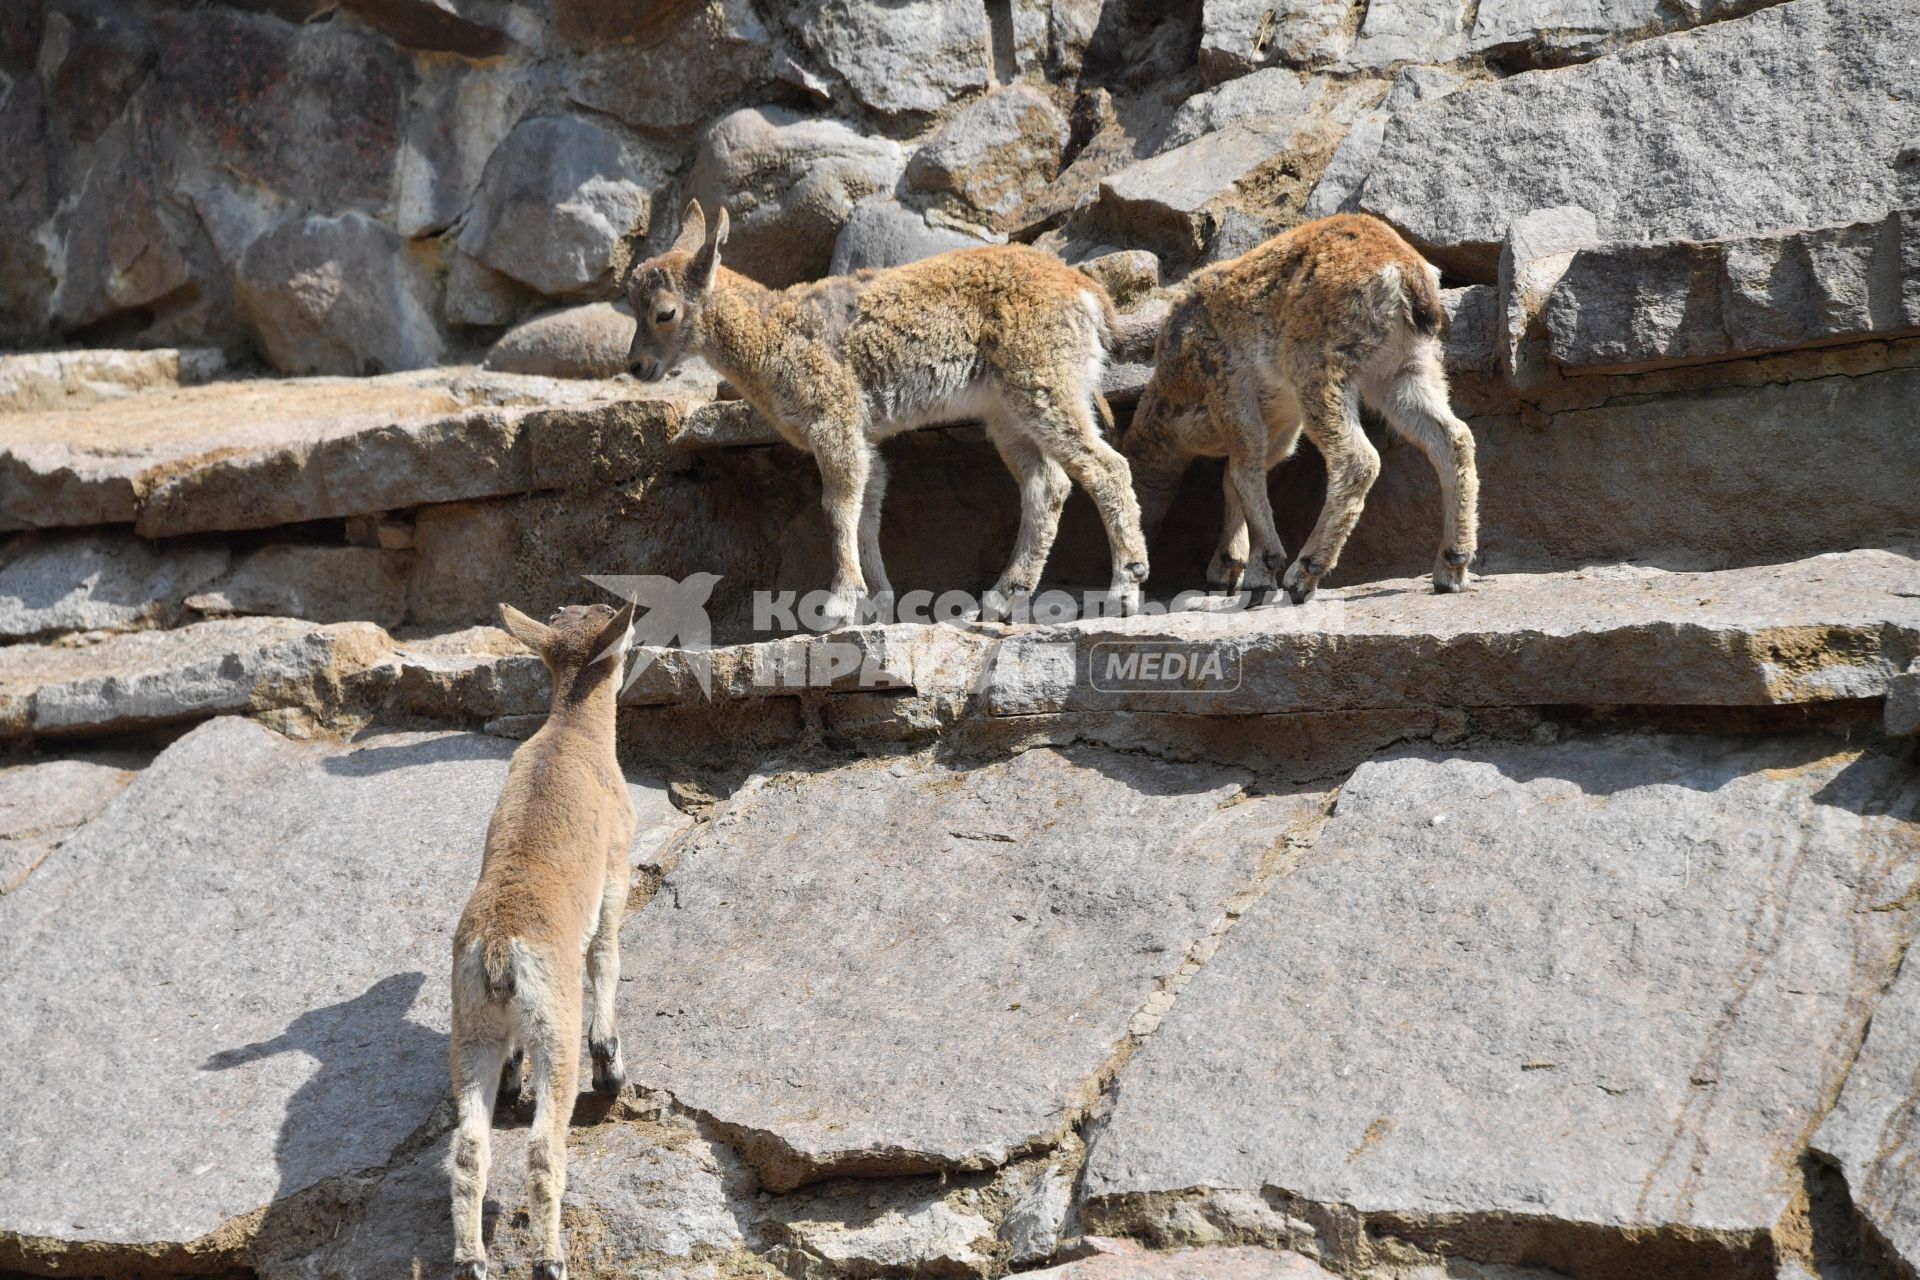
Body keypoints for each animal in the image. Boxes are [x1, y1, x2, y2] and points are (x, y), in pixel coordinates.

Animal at [445, 602, 633, 1280]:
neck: (572, 735)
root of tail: (500, 950)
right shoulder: (615, 873)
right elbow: (605, 958)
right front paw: (612, 1067)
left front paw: (511, 1078)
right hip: (555, 1026)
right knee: (542, 1148)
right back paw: (550, 1258)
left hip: (471, 1026)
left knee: (468, 1151)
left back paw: (471, 1259)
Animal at [629, 196, 1144, 629]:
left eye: (665, 313)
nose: (636, 365)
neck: (770, 335)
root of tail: (1085, 292)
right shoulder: (863, 437)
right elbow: (866, 510)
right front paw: (876, 604)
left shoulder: (833, 419)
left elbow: (838, 506)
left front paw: (839, 604)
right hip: (1008, 413)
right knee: (1048, 485)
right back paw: (1001, 598)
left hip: (1043, 382)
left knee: (1105, 467)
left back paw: (1123, 589)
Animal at [1121, 214, 1474, 606]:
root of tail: (1404, 274)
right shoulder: (1280, 426)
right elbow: (1238, 476)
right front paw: (1234, 566)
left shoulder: (1228, 387)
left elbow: (1242, 473)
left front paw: (1259, 569)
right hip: (1405, 368)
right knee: (1453, 438)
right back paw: (1452, 566)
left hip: (1320, 365)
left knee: (1358, 460)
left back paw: (1304, 573)